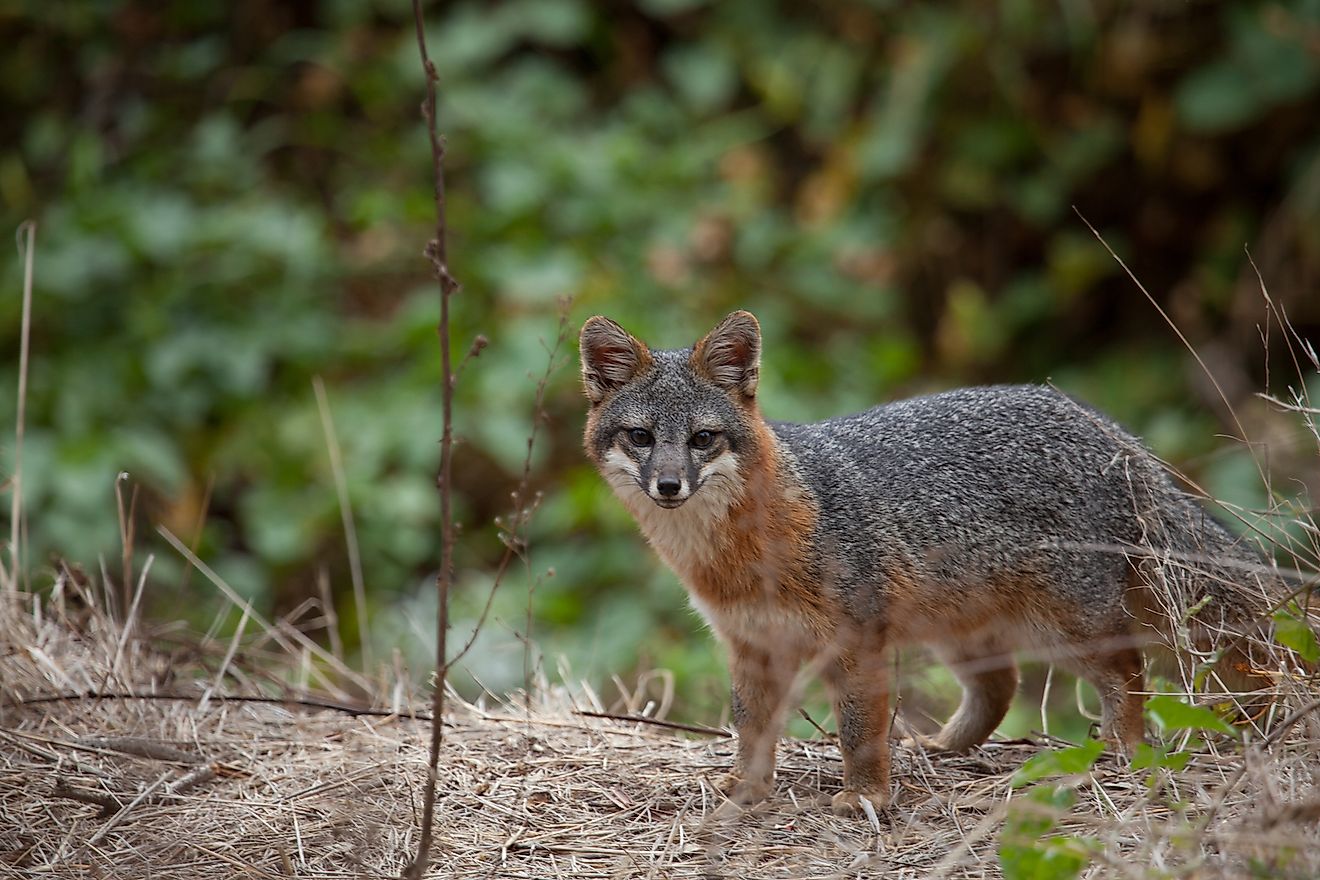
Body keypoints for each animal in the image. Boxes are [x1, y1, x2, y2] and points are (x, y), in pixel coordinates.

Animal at [580, 311, 1277, 817]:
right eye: (641, 438)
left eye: (702, 439)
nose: (669, 485)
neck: (742, 554)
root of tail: (1116, 437)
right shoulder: (752, 644)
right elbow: (750, 729)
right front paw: (746, 791)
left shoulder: (855, 640)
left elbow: (859, 731)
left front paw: (864, 797)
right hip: (962, 630)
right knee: (1000, 687)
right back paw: (942, 748)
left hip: (1067, 628)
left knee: (1129, 673)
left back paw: (1126, 750)